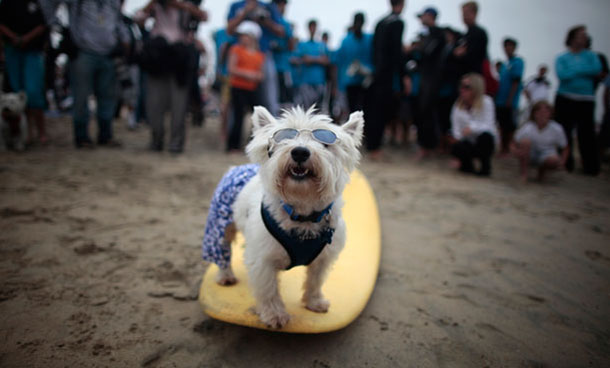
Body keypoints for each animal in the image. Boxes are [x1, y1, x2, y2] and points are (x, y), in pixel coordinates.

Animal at [201, 105, 360, 328]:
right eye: (284, 138)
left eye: (325, 143)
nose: (300, 152)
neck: (302, 213)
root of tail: (236, 168)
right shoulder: (263, 260)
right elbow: (269, 290)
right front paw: (275, 315)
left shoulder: (324, 258)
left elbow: (315, 280)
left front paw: (314, 302)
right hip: (220, 224)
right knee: (222, 250)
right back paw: (226, 276)